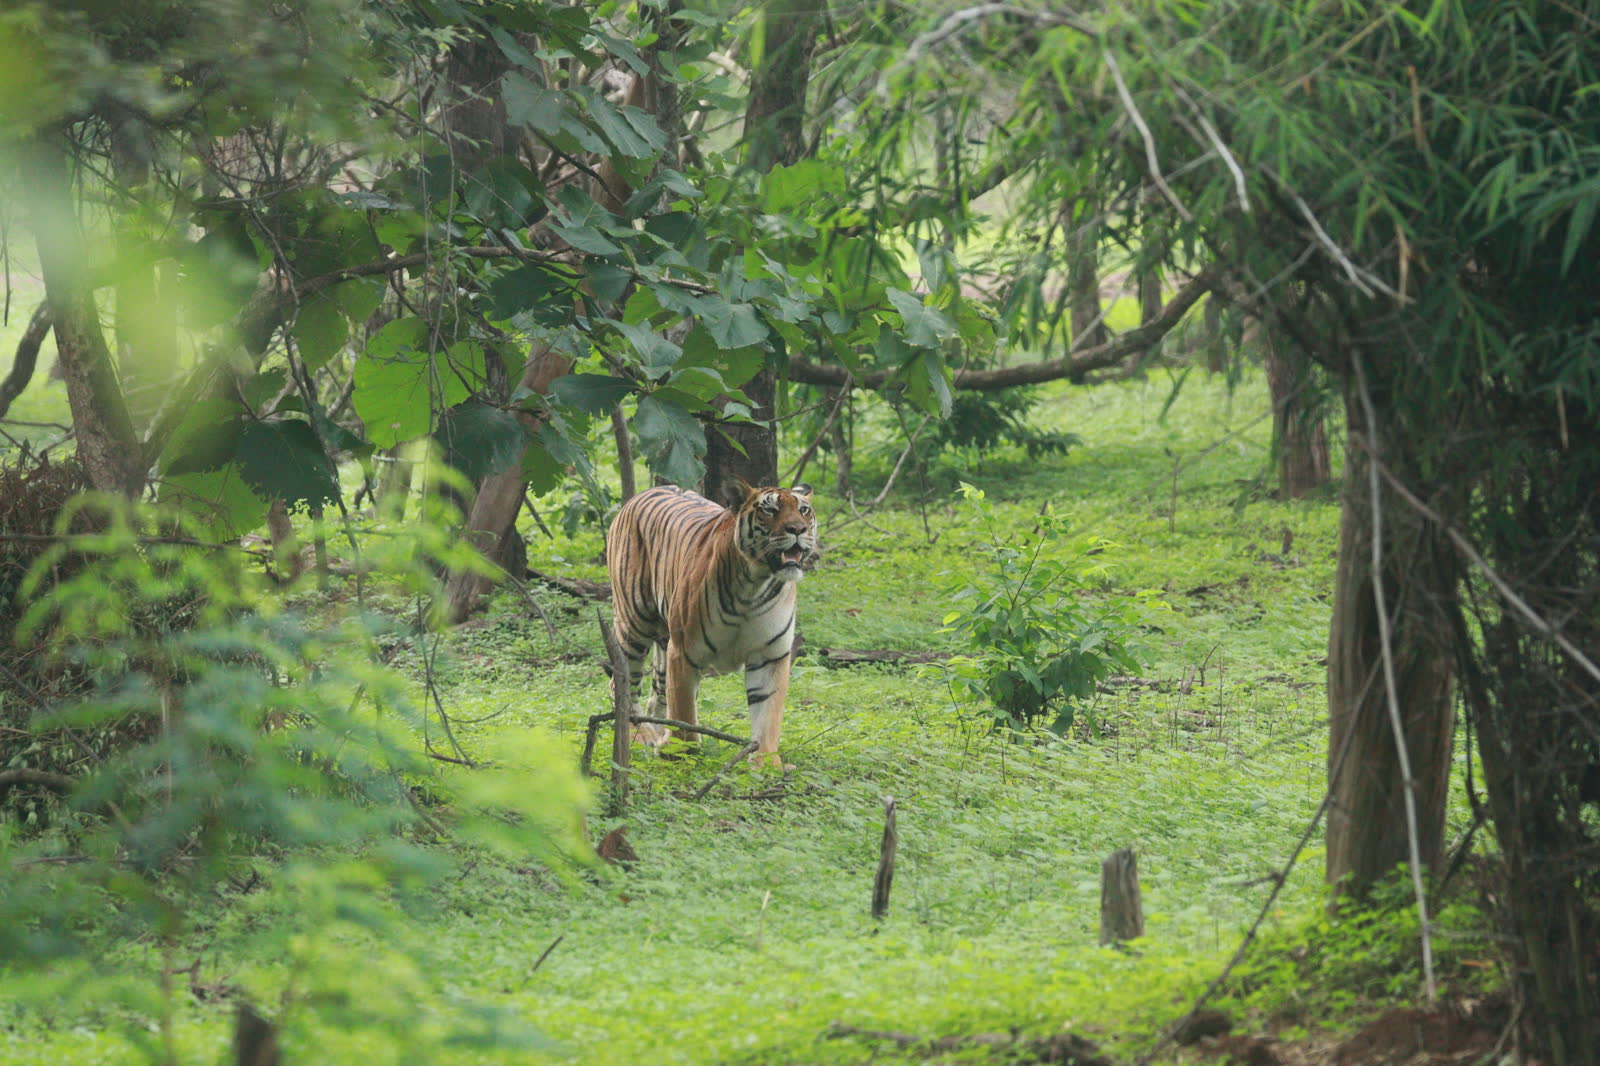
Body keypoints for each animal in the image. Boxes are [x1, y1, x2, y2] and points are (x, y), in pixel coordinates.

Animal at [606, 483, 820, 767]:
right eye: (770, 510)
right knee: (622, 683)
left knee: (658, 692)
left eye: (803, 510)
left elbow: (768, 716)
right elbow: (685, 713)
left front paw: (767, 764)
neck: (756, 585)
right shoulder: (683, 651)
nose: (798, 529)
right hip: (634, 624)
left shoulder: (770, 655)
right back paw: (637, 734)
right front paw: (676, 751)